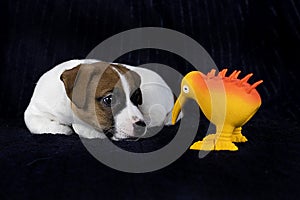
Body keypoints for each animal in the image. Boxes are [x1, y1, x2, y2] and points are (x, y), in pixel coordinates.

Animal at [24, 59, 179, 141]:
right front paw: (62, 129)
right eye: (109, 99)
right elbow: (36, 123)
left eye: (136, 98)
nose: (141, 126)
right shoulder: (34, 111)